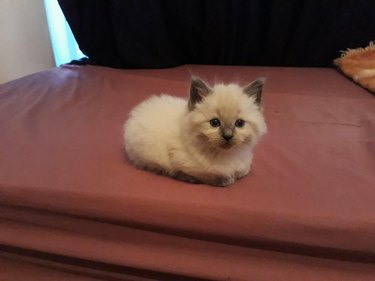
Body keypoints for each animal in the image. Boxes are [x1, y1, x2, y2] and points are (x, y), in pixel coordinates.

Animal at [123, 76, 268, 186]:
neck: (225, 155)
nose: (228, 136)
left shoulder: (244, 166)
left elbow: (243, 171)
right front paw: (226, 180)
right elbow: (207, 175)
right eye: (214, 123)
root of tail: (137, 110)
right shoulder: (181, 161)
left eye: (239, 123)